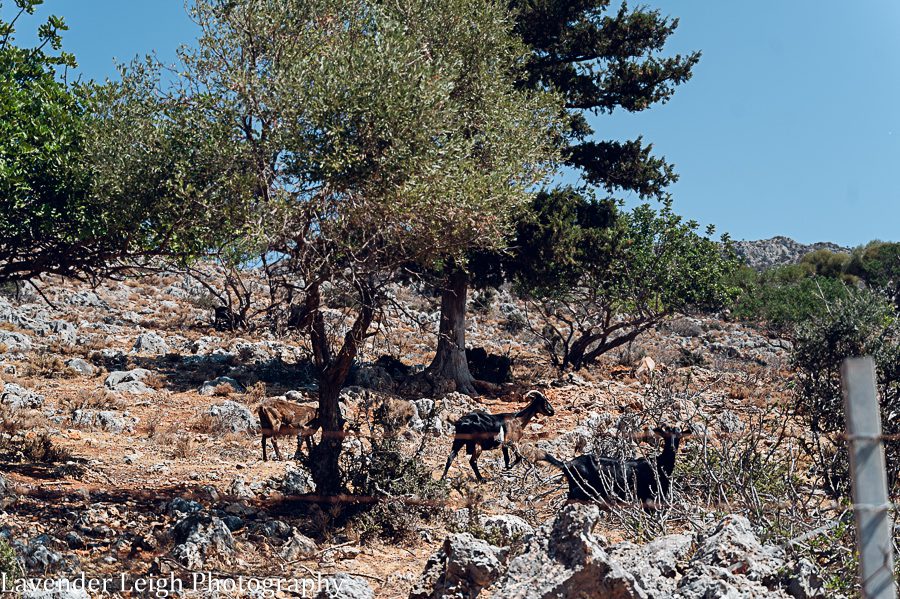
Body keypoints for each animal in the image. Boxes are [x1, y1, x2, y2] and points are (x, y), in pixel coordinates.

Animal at [539, 425, 691, 508]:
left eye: (679, 437)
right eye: (665, 436)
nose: (672, 448)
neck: (660, 463)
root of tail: (567, 464)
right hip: (579, 488)